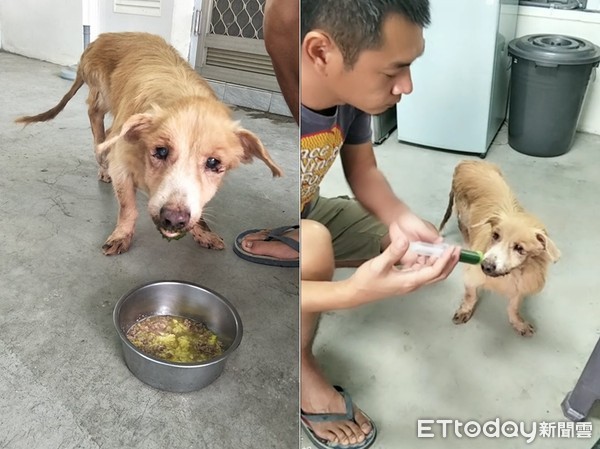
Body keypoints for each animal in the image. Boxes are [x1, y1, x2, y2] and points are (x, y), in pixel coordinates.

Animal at [15, 30, 284, 256]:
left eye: (213, 163)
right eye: (161, 151)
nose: (173, 219)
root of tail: (101, 38)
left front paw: (204, 234)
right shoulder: (122, 164)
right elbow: (127, 207)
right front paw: (121, 237)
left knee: (109, 133)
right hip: (100, 98)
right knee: (98, 129)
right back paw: (102, 164)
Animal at [438, 161, 560, 336]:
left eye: (519, 248)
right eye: (495, 236)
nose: (486, 266)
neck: (511, 274)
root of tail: (466, 161)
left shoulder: (520, 286)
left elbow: (514, 307)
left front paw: (518, 323)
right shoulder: (472, 276)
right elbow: (470, 295)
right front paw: (465, 311)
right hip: (463, 215)